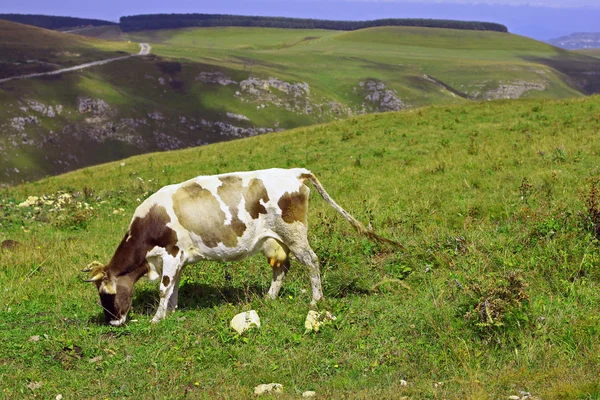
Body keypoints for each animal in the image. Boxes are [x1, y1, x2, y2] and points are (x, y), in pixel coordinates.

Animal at [84, 167, 400, 326]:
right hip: (277, 238)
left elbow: (164, 287)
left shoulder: (171, 252)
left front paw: (157, 319)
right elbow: (173, 287)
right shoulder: (178, 258)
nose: (113, 323)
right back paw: (269, 299)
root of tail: (296, 172)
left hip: (295, 233)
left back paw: (316, 299)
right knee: (282, 267)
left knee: (311, 261)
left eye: (106, 294)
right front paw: (171, 312)